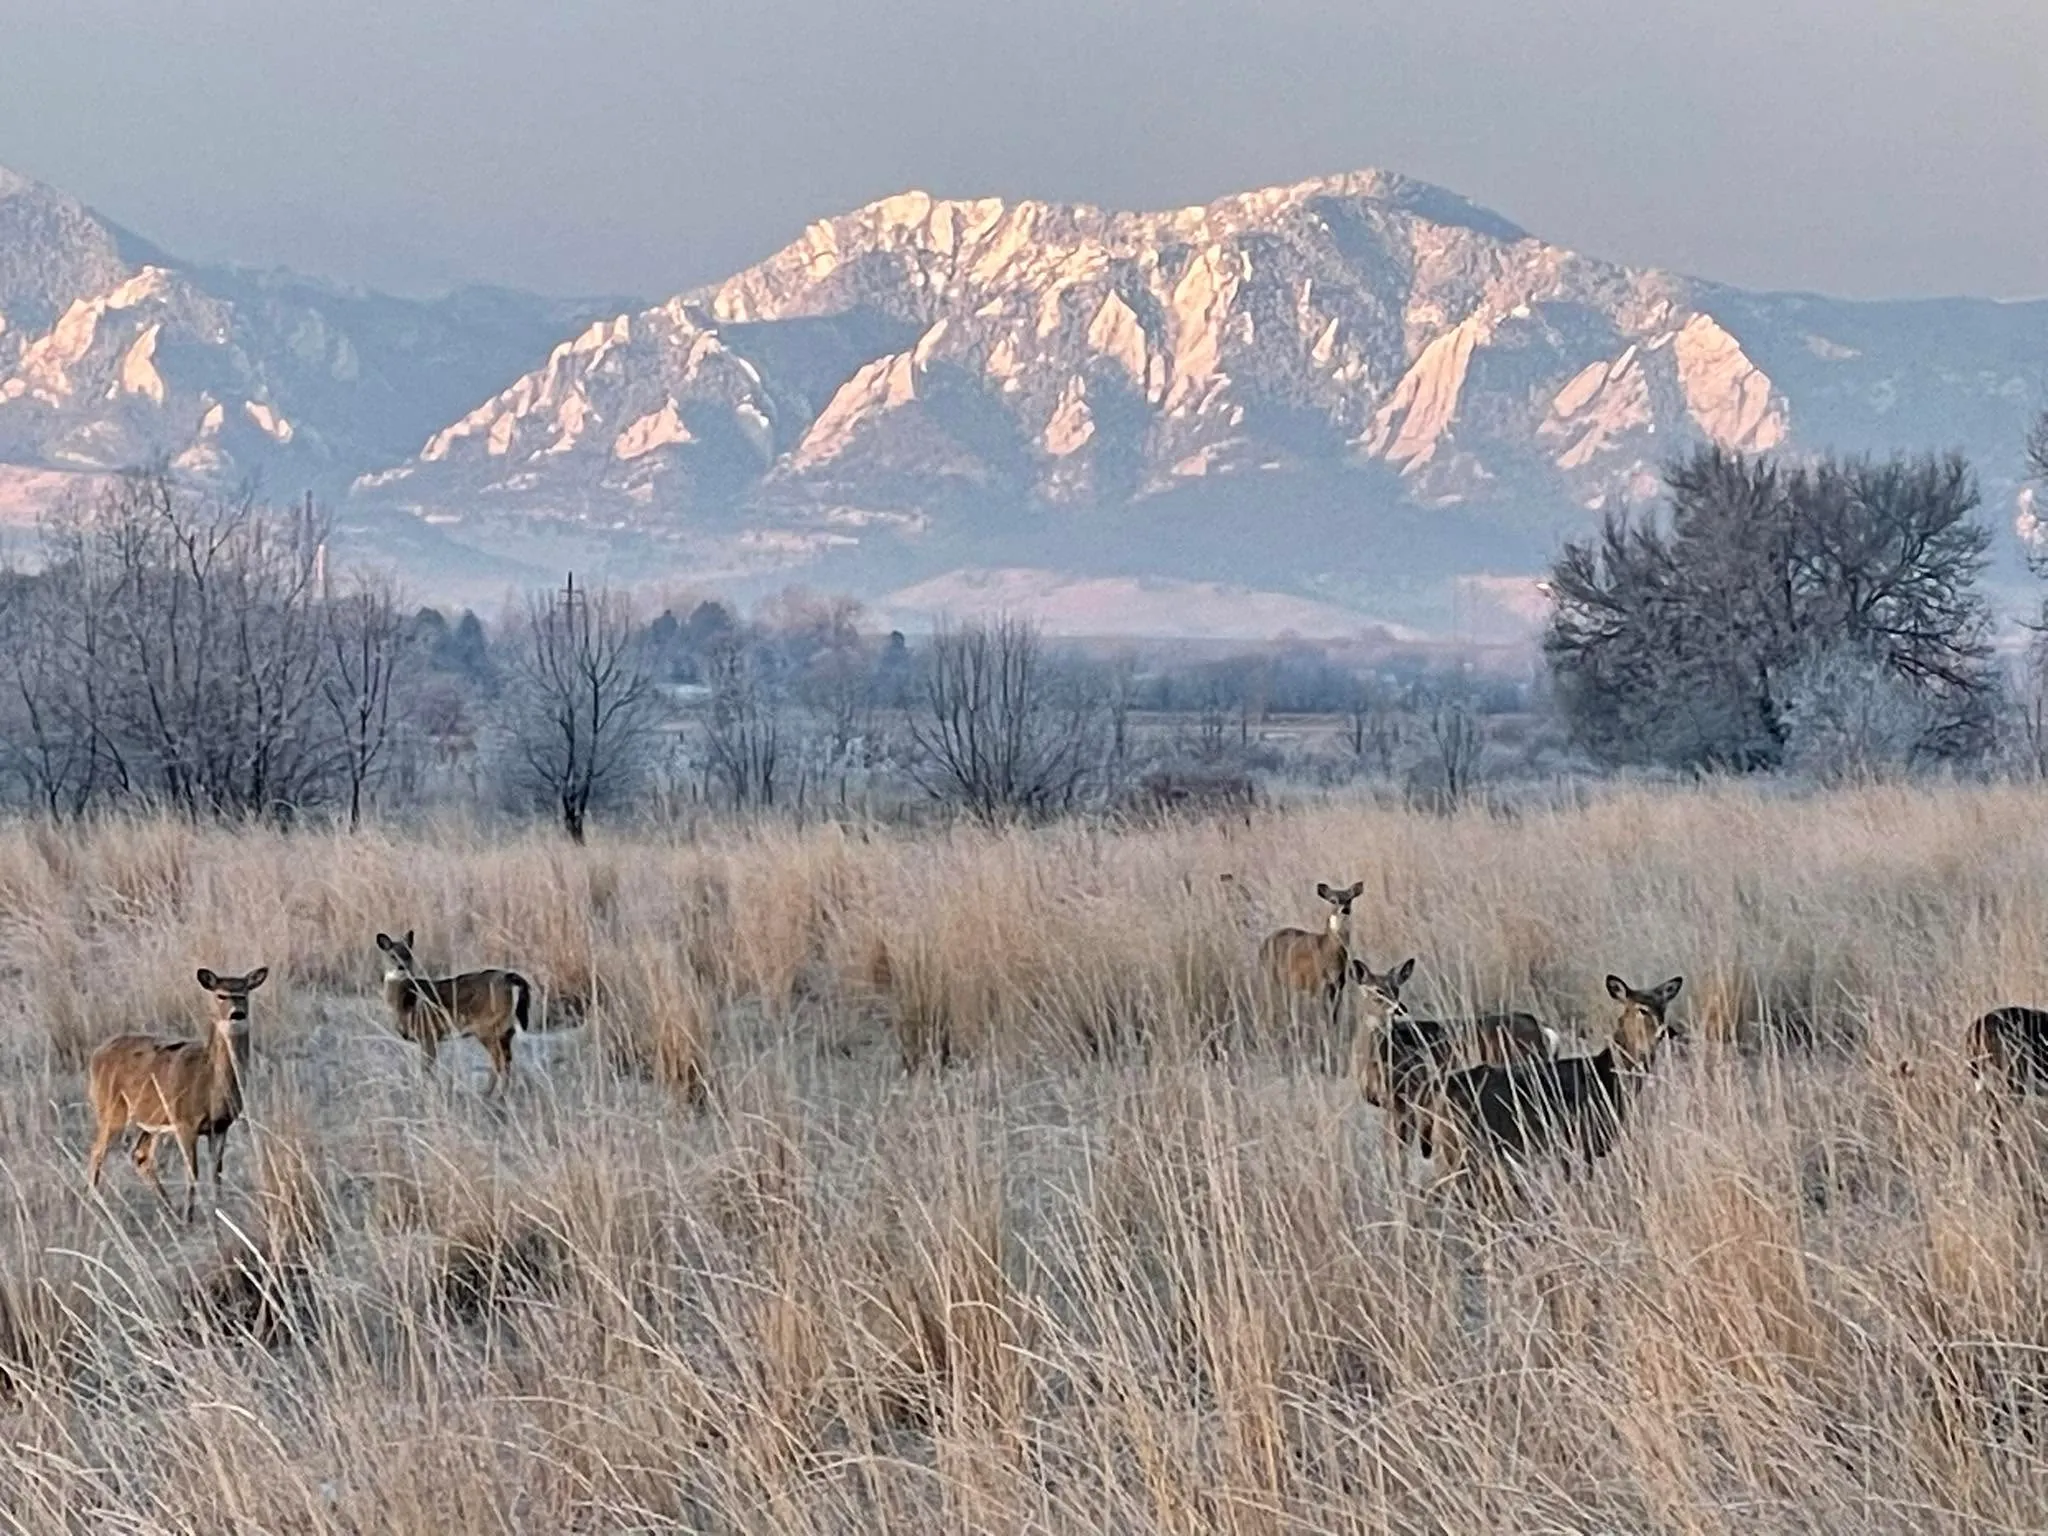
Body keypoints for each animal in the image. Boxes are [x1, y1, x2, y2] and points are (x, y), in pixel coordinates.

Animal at [86, 967, 270, 1222]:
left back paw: (168, 1209)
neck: (210, 1086)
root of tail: (96, 1055)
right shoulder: (185, 1122)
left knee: (140, 1156)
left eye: (244, 994)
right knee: (97, 1152)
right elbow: (193, 1171)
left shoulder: (220, 1126)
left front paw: (217, 1214)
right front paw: (189, 1217)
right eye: (220, 995)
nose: (237, 1014)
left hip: (149, 1119)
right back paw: (95, 1206)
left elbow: (216, 1173)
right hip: (111, 1110)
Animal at [374, 930, 532, 1097]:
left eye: (408, 954)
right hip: (505, 1030)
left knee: (499, 1061)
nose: (402, 967)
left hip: (488, 1027)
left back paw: (489, 1094)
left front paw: (425, 1091)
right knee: (506, 1060)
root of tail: (512, 979)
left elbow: (426, 1068)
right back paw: (497, 1094)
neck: (407, 1003)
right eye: (392, 955)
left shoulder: (428, 1032)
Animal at [1259, 879, 1366, 1033]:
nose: (1345, 909)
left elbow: (1333, 1019)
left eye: (1349, 899)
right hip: (1270, 977)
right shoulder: (1318, 984)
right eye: (1333, 900)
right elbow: (1323, 1020)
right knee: (1271, 1009)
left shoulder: (1339, 985)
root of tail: (1262, 946)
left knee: (1289, 1010)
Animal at [1347, 955, 1558, 1162]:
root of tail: (1542, 1030)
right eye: (1377, 990)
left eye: (1397, 988)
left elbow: (1399, 1153)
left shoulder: (1404, 1096)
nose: (1400, 1009)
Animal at [1428, 973, 1684, 1190]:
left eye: (1663, 1006)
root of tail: (1445, 1093)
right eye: (1642, 1009)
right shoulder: (1581, 1140)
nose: (1667, 1031)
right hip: (1463, 1145)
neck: (1607, 1077)